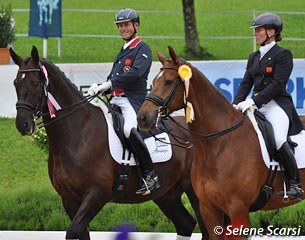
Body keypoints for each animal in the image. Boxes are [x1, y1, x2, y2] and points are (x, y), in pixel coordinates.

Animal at [11, 46, 207, 240]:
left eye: (35, 83)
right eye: (15, 83)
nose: (23, 124)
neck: (77, 132)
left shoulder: (96, 194)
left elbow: (73, 231)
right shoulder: (68, 198)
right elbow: (80, 232)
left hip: (195, 192)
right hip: (166, 194)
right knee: (185, 223)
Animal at [137, 46, 304, 239]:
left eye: (169, 82)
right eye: (153, 81)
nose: (142, 118)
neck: (217, 145)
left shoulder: (238, 209)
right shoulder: (210, 209)